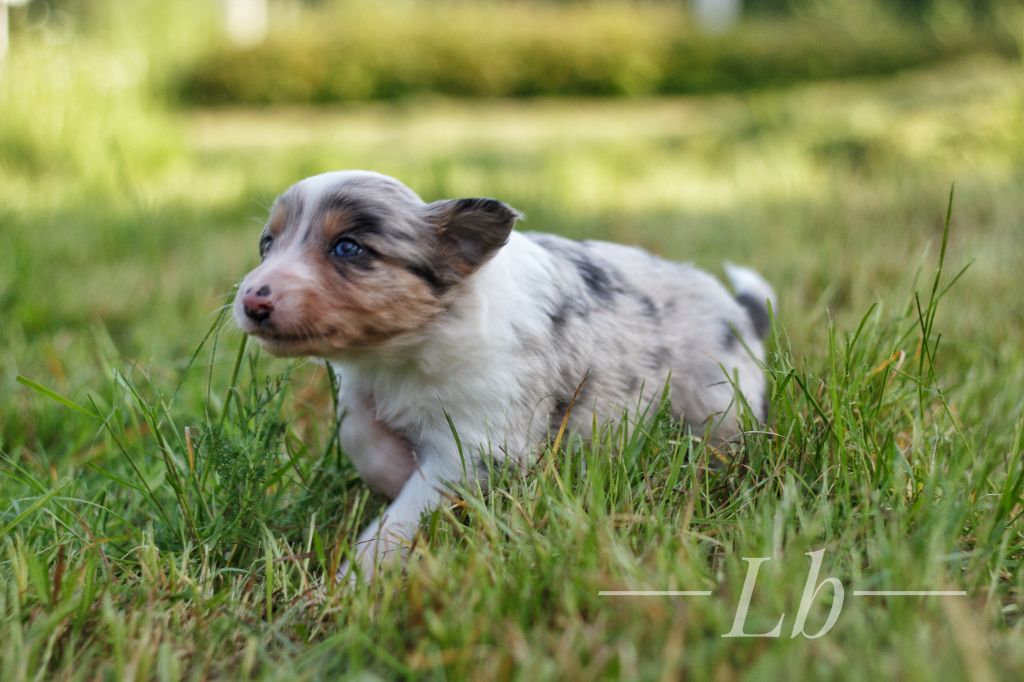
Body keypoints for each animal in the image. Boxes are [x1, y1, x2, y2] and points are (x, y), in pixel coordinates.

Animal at [234, 169, 774, 577]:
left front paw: (357, 578)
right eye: (266, 244)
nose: (251, 300)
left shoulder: (477, 444)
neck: (402, 353)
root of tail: (739, 311)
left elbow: (406, 514)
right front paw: (392, 468)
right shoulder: (364, 391)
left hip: (720, 405)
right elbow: (359, 434)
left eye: (348, 248)